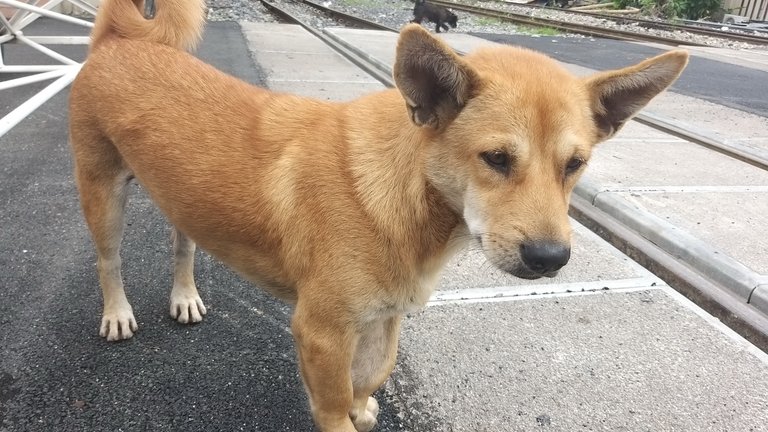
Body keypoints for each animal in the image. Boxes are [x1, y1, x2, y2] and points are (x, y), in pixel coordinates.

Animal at [69, 0, 688, 428]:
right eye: (496, 158)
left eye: (576, 165)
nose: (551, 258)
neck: (406, 195)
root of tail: (120, 41)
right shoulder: (320, 332)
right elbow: (333, 401)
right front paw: (346, 412)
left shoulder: (382, 316)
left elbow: (373, 374)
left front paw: (364, 407)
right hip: (102, 195)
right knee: (108, 261)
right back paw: (117, 313)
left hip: (181, 196)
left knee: (183, 245)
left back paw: (184, 297)